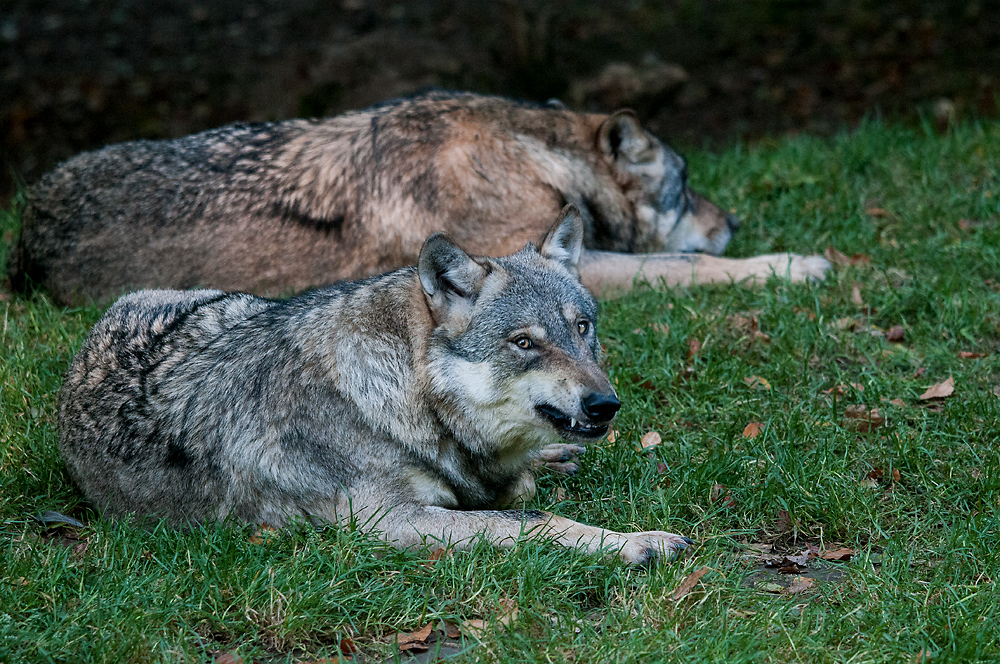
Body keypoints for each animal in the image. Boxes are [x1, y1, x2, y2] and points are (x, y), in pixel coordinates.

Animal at [9, 89, 828, 304]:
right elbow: (688, 266)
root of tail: (24, 231)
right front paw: (794, 264)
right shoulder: (568, 262)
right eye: (686, 187)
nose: (734, 220)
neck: (530, 157)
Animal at [58, 209, 692, 564]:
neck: (408, 396)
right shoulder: (389, 523)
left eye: (581, 328)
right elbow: (530, 522)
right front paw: (636, 543)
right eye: (523, 343)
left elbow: (518, 497)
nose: (605, 404)